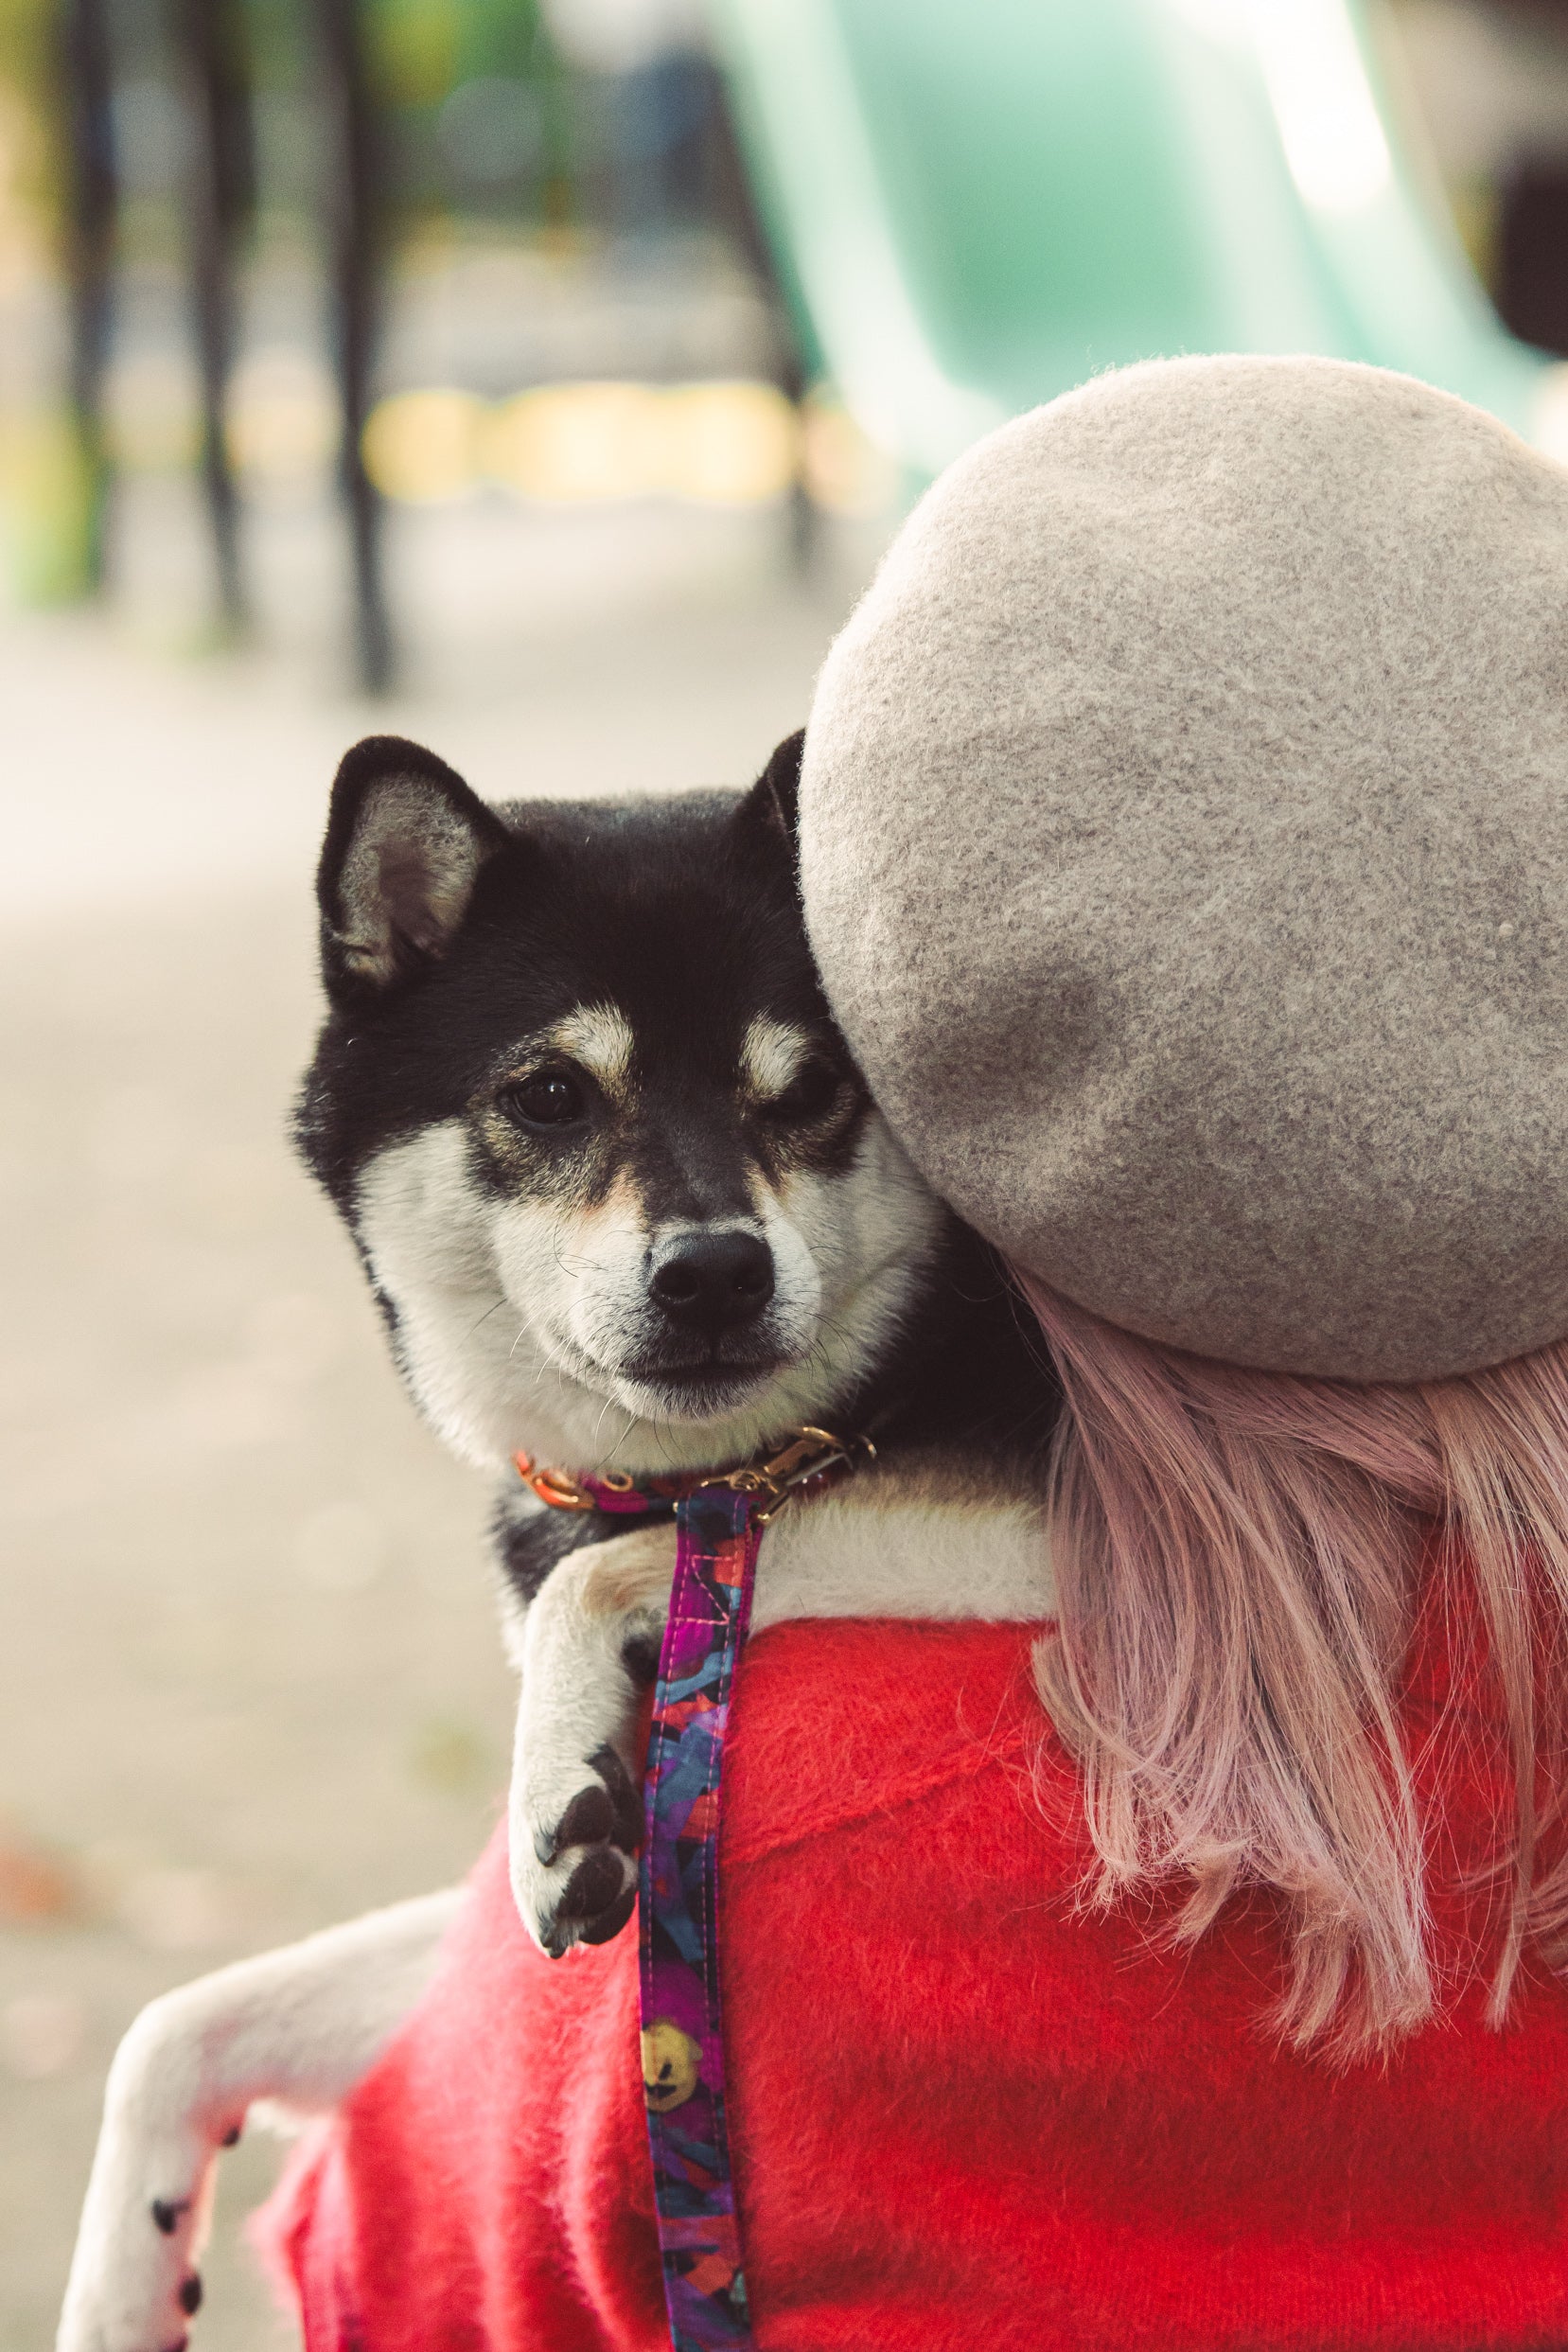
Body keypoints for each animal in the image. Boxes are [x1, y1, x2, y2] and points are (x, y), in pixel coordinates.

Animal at [55, 734, 1062, 2352]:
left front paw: (563, 1765)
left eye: (813, 1088)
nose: (714, 1272)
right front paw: (118, 2292)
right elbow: (176, 2021)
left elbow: (641, 1552)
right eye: (545, 1092)